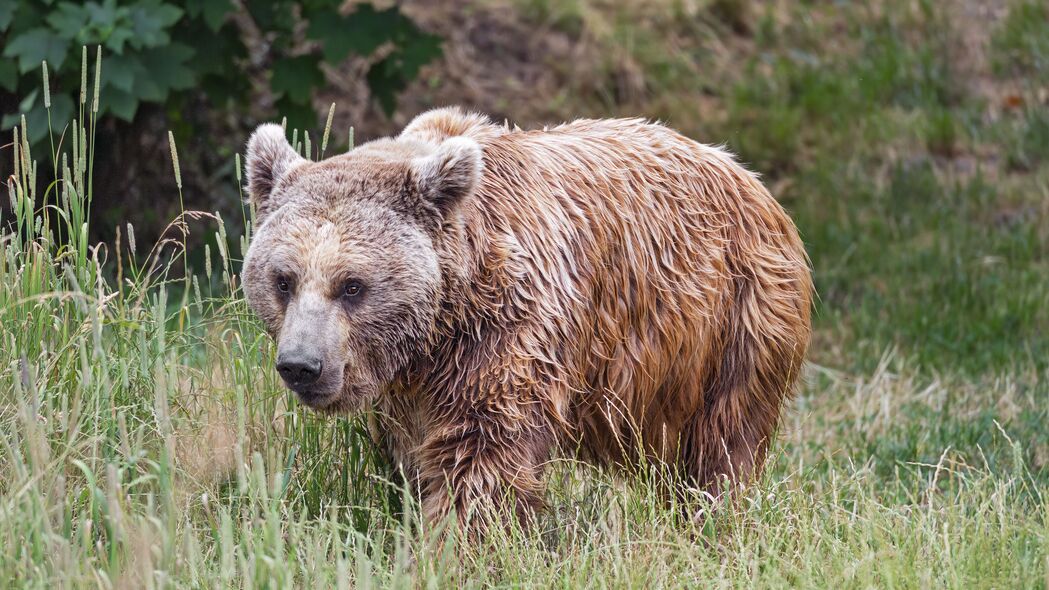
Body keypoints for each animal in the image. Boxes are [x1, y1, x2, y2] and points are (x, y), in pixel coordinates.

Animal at [241, 106, 814, 533]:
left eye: (352, 285)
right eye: (283, 279)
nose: (302, 365)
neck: (440, 327)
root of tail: (748, 176)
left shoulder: (511, 326)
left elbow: (483, 448)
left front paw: (454, 541)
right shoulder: (410, 386)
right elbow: (409, 454)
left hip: (732, 320)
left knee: (725, 440)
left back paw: (709, 518)